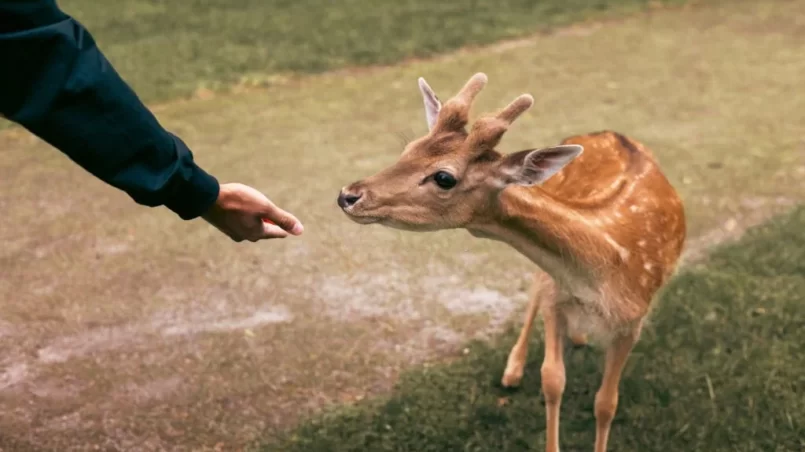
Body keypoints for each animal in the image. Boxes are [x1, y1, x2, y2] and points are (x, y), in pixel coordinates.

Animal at [334, 72, 684, 450]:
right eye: (409, 148)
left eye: (444, 177)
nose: (348, 195)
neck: (601, 272)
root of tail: (606, 132)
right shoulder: (555, 293)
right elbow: (552, 380)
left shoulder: (633, 322)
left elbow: (606, 403)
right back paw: (515, 368)